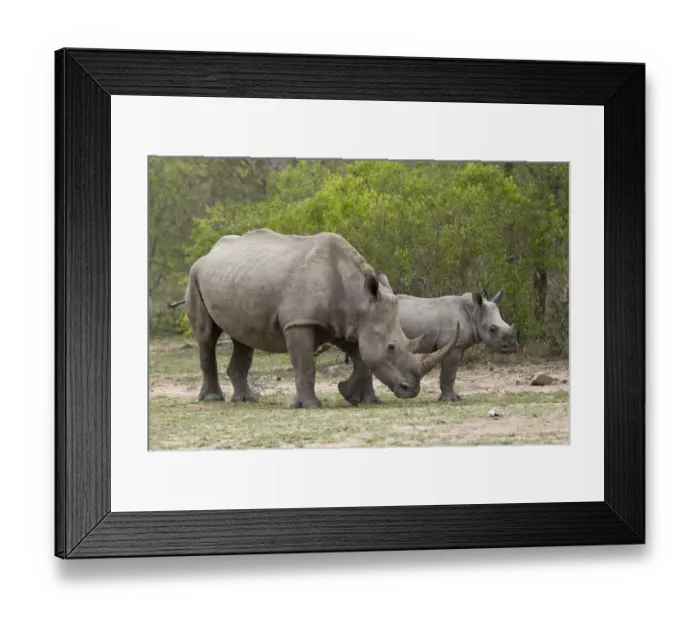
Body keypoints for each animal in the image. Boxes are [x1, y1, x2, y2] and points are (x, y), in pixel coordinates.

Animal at [173, 229, 460, 408]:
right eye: (391, 347)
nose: (411, 391)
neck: (360, 299)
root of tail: (209, 253)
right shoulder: (300, 322)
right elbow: (306, 365)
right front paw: (309, 406)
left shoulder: (346, 324)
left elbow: (363, 361)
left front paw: (355, 397)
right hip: (195, 275)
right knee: (206, 336)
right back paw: (213, 400)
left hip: (236, 278)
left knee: (243, 338)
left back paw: (248, 400)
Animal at [374, 273, 518, 401]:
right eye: (492, 329)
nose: (512, 347)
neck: (474, 313)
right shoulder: (453, 345)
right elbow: (449, 374)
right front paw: (450, 400)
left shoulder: (459, 345)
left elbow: (452, 374)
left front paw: (455, 397)